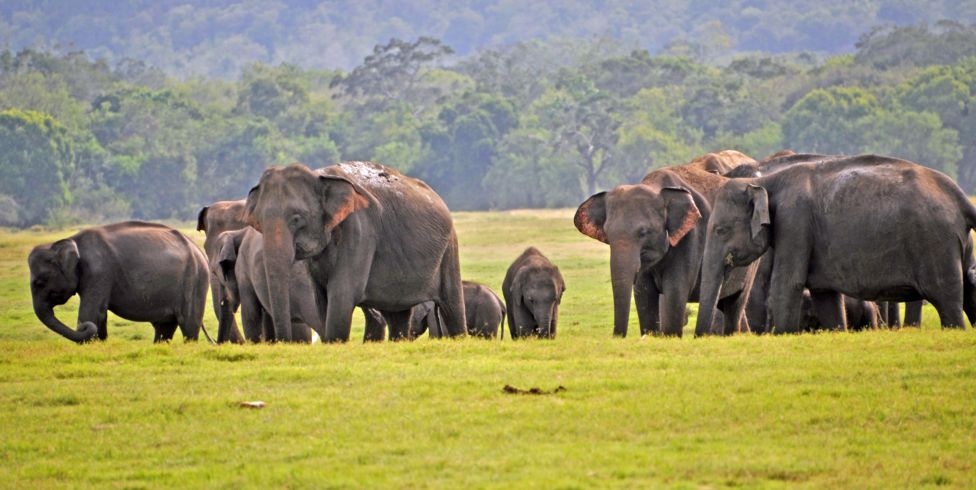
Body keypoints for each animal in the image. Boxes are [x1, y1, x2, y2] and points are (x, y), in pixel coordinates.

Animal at [28, 221, 211, 343]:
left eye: (40, 282)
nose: (84, 327)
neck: (70, 241)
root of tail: (198, 249)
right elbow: (100, 314)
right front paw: (99, 343)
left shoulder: (98, 272)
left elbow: (91, 312)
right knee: (164, 327)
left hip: (195, 280)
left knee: (188, 325)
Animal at [243, 161, 466, 342]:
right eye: (258, 221)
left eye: (297, 218)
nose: (283, 341)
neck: (319, 175)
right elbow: (321, 298)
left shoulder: (360, 231)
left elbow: (342, 293)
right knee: (398, 316)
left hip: (449, 248)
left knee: (451, 304)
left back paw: (459, 337)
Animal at [574, 150, 758, 337]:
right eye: (608, 234)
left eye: (644, 232)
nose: (618, 337)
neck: (655, 186)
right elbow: (644, 294)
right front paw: (651, 335)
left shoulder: (690, 238)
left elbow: (674, 293)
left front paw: (670, 336)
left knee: (735, 303)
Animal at [696, 154, 976, 335]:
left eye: (721, 230)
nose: (702, 337)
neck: (767, 182)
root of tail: (961, 198)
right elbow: (825, 295)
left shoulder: (794, 222)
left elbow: (787, 284)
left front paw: (782, 334)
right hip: (959, 245)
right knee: (969, 290)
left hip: (936, 245)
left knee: (948, 301)